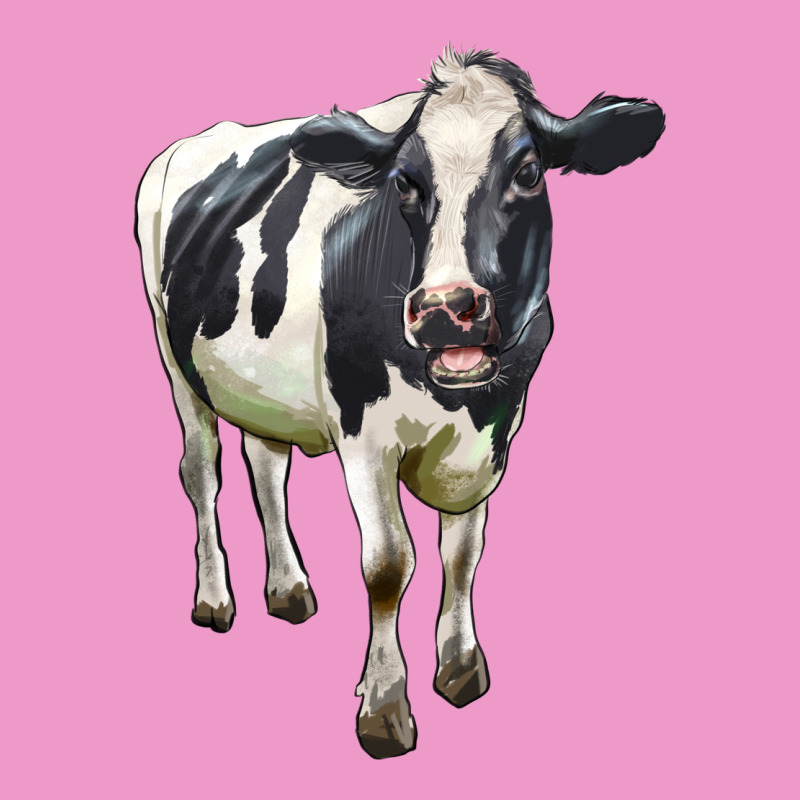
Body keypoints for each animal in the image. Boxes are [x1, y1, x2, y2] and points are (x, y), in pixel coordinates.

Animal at [135, 48, 664, 758]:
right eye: (406, 182)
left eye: (528, 172)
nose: (445, 308)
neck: (461, 403)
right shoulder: (364, 433)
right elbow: (389, 564)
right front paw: (384, 707)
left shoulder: (494, 437)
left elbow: (463, 552)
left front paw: (460, 667)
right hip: (174, 361)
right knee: (201, 474)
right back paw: (215, 598)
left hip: (261, 386)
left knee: (267, 467)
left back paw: (288, 588)